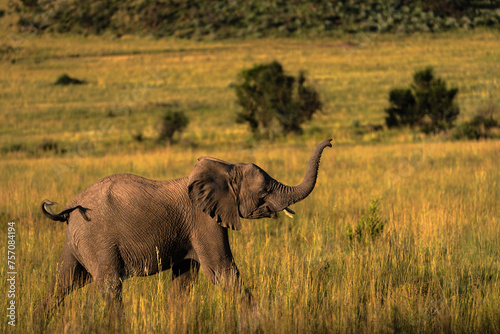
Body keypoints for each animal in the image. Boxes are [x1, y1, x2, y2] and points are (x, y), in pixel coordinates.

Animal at [35, 138, 332, 324]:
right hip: (97, 237)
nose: (330, 142)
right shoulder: (204, 221)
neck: (226, 168)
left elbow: (184, 280)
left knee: (63, 281)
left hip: (78, 239)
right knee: (109, 286)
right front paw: (259, 321)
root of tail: (71, 206)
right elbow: (222, 273)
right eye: (264, 191)